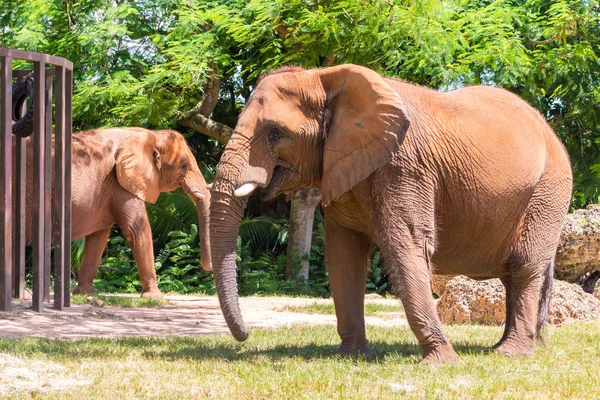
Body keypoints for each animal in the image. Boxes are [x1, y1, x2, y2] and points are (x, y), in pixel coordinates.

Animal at [16, 126, 211, 298]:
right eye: (184, 165)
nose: (207, 268)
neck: (152, 135)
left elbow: (99, 236)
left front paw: (86, 294)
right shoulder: (120, 182)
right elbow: (137, 228)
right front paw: (155, 298)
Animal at [210, 65, 572, 362]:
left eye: (275, 133)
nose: (245, 336)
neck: (324, 78)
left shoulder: (405, 167)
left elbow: (405, 246)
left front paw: (442, 361)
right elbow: (344, 256)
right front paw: (351, 356)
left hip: (548, 192)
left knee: (525, 268)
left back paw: (511, 353)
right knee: (514, 275)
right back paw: (503, 348)